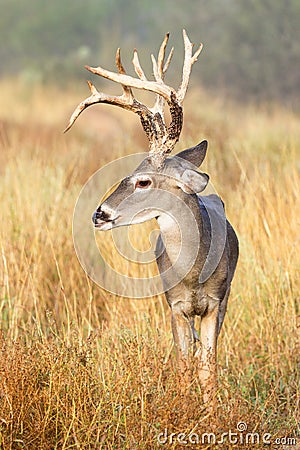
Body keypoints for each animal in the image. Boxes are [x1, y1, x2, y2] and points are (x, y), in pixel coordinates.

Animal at [64, 31, 238, 404]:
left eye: (143, 181)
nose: (99, 213)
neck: (195, 271)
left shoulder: (216, 302)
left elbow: (208, 367)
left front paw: (210, 411)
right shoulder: (174, 305)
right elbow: (185, 365)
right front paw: (187, 407)